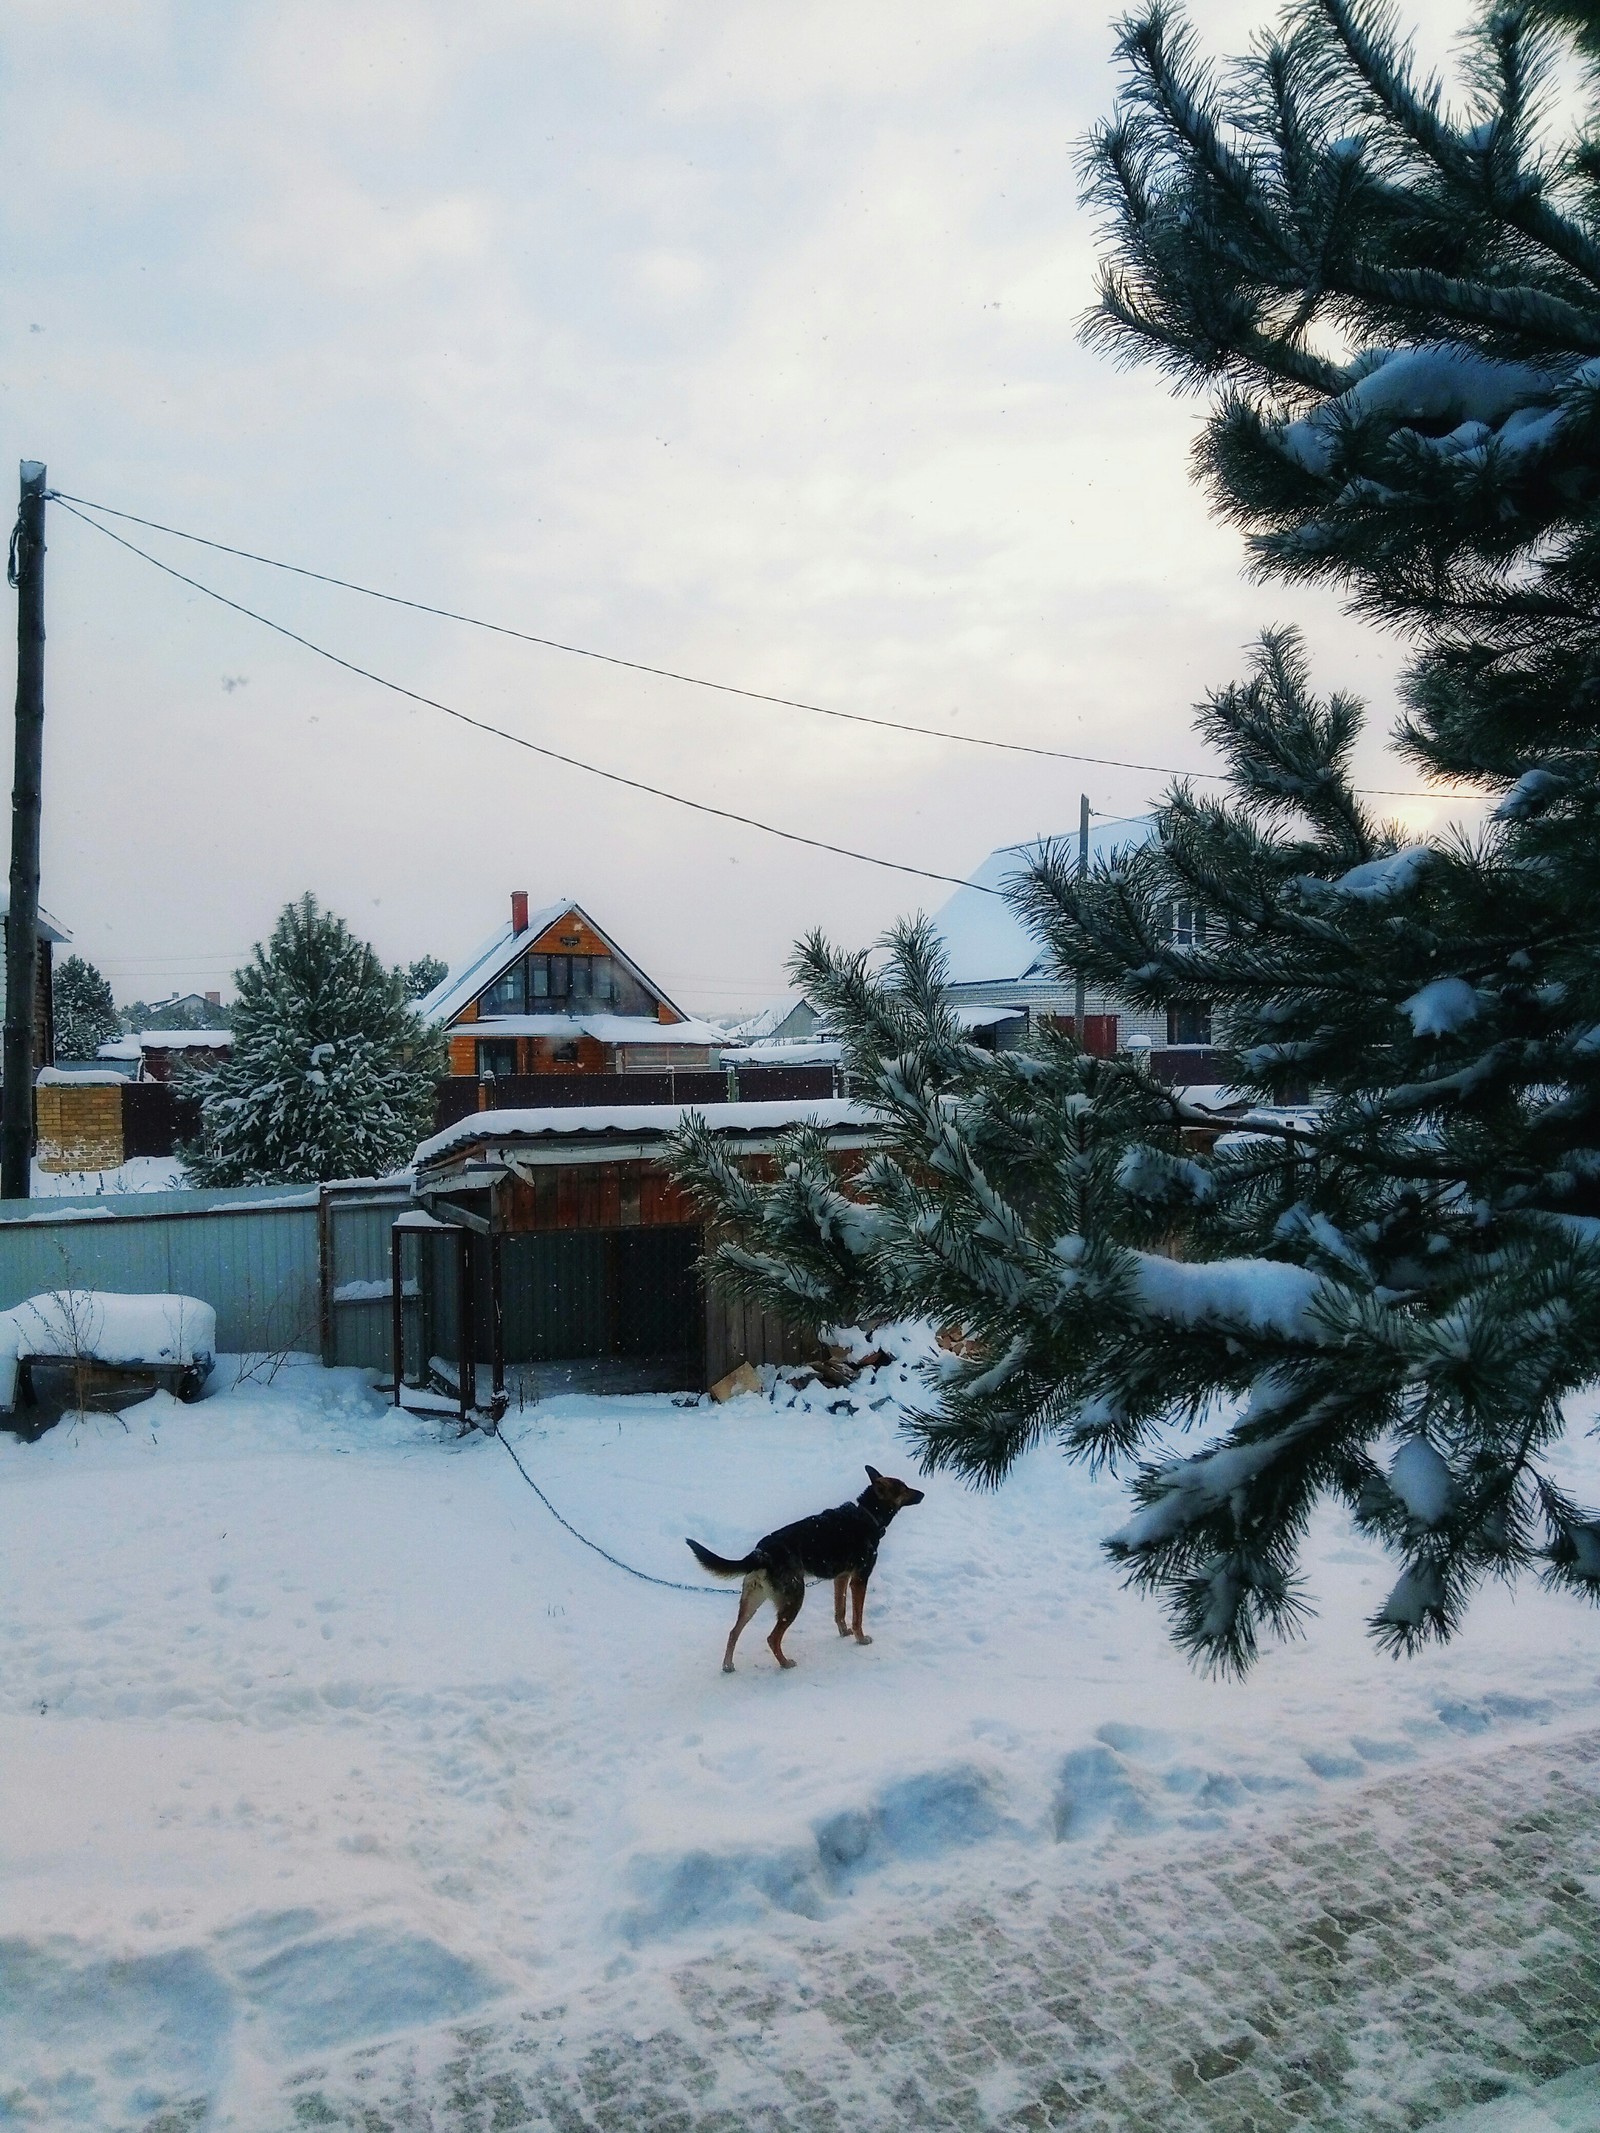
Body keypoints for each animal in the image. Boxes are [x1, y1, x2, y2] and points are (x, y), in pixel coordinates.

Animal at [691, 1467, 925, 1663]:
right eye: (904, 1488)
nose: (922, 1493)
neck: (868, 1514)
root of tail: (761, 1552)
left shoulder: (841, 1579)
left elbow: (840, 1610)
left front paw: (843, 1633)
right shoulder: (859, 1579)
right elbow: (857, 1617)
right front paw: (861, 1638)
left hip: (753, 1600)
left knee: (734, 1632)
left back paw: (728, 1666)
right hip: (794, 1599)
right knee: (772, 1638)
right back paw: (785, 1664)